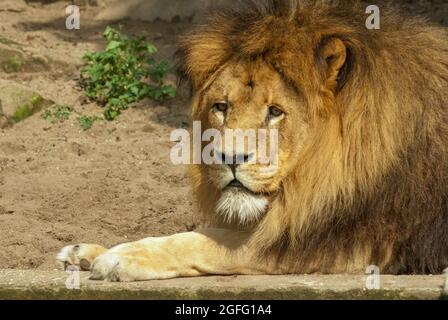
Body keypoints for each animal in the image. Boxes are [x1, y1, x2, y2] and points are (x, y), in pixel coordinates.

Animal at [57, 0, 448, 280]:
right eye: (221, 106)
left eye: (275, 112)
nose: (229, 158)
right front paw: (85, 252)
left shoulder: (347, 241)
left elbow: (203, 240)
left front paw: (122, 256)